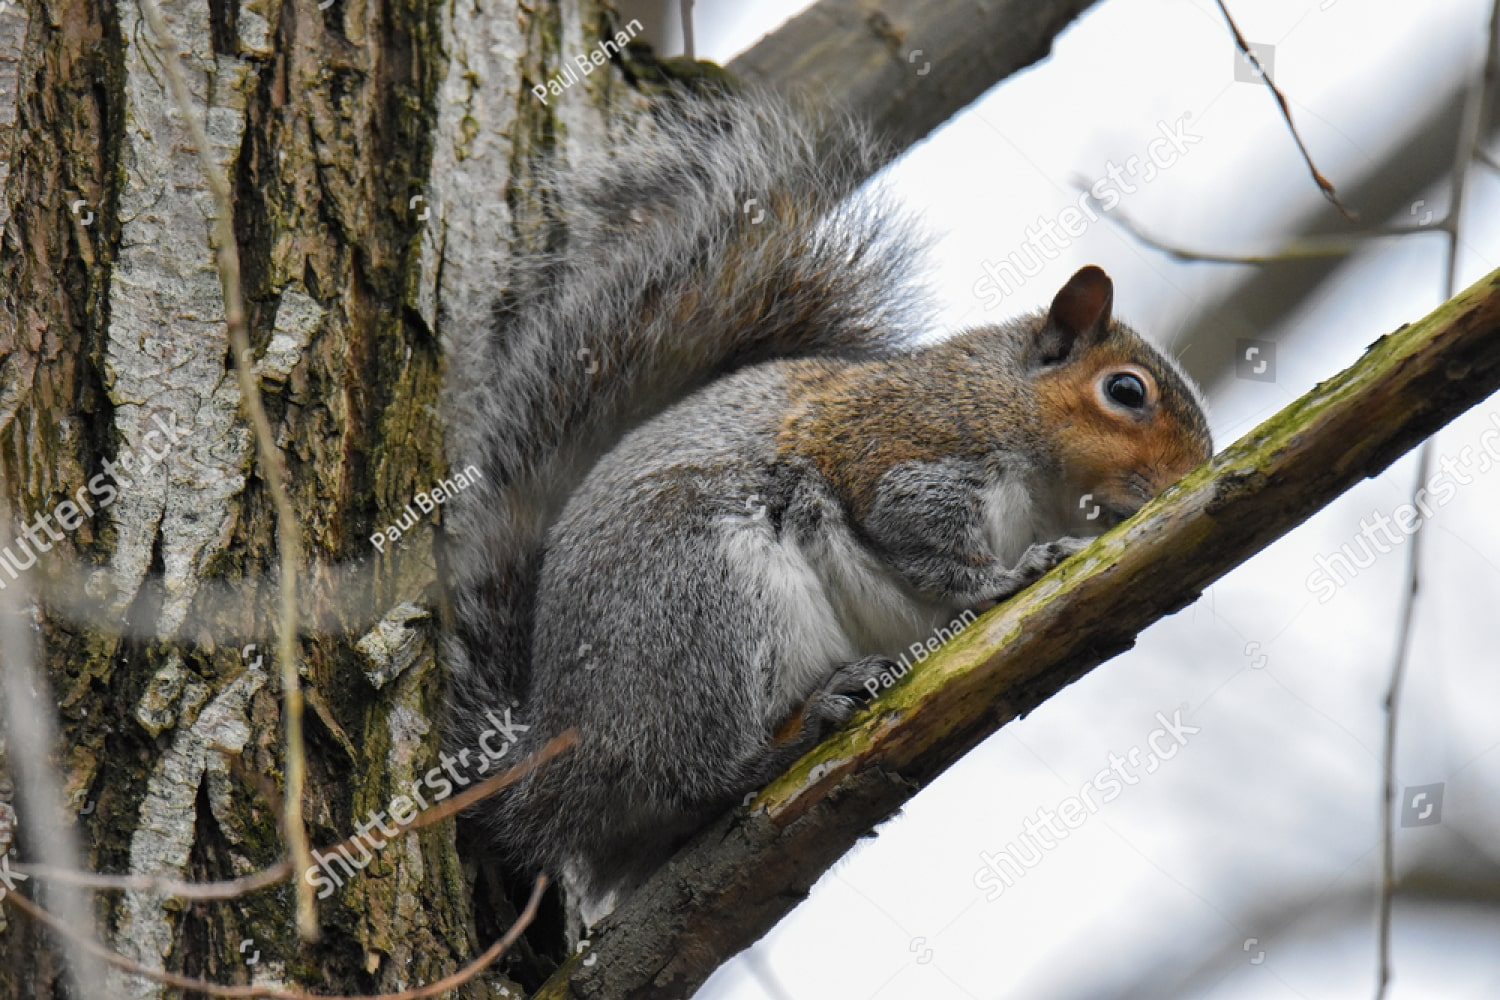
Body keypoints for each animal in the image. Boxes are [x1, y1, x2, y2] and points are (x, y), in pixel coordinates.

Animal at [442, 88, 1212, 923]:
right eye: (1126, 390)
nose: (1194, 473)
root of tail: (557, 764)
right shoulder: (900, 452)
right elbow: (923, 539)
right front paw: (1009, 576)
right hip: (703, 602)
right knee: (693, 773)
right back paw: (799, 728)